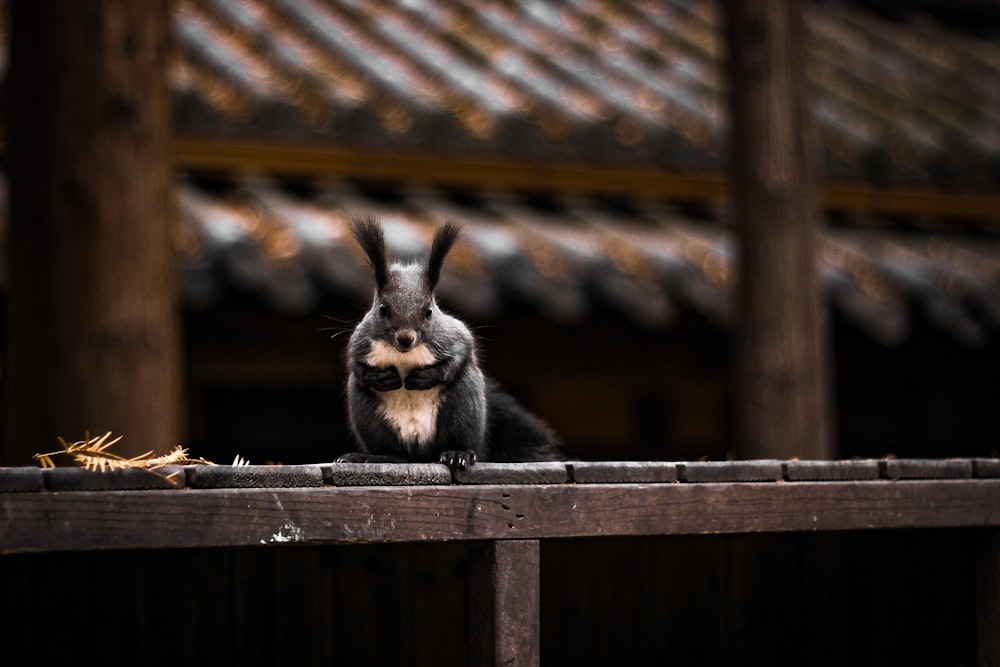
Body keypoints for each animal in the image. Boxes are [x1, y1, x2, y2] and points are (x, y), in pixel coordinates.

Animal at [332, 217, 560, 468]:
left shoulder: (453, 335)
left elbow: (463, 351)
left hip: (464, 406)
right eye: (383, 309)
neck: (404, 354)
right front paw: (381, 378)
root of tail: (421, 454)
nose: (405, 338)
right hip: (368, 417)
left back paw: (457, 454)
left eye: (428, 312)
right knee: (393, 451)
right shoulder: (360, 341)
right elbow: (354, 364)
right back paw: (374, 456)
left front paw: (426, 377)